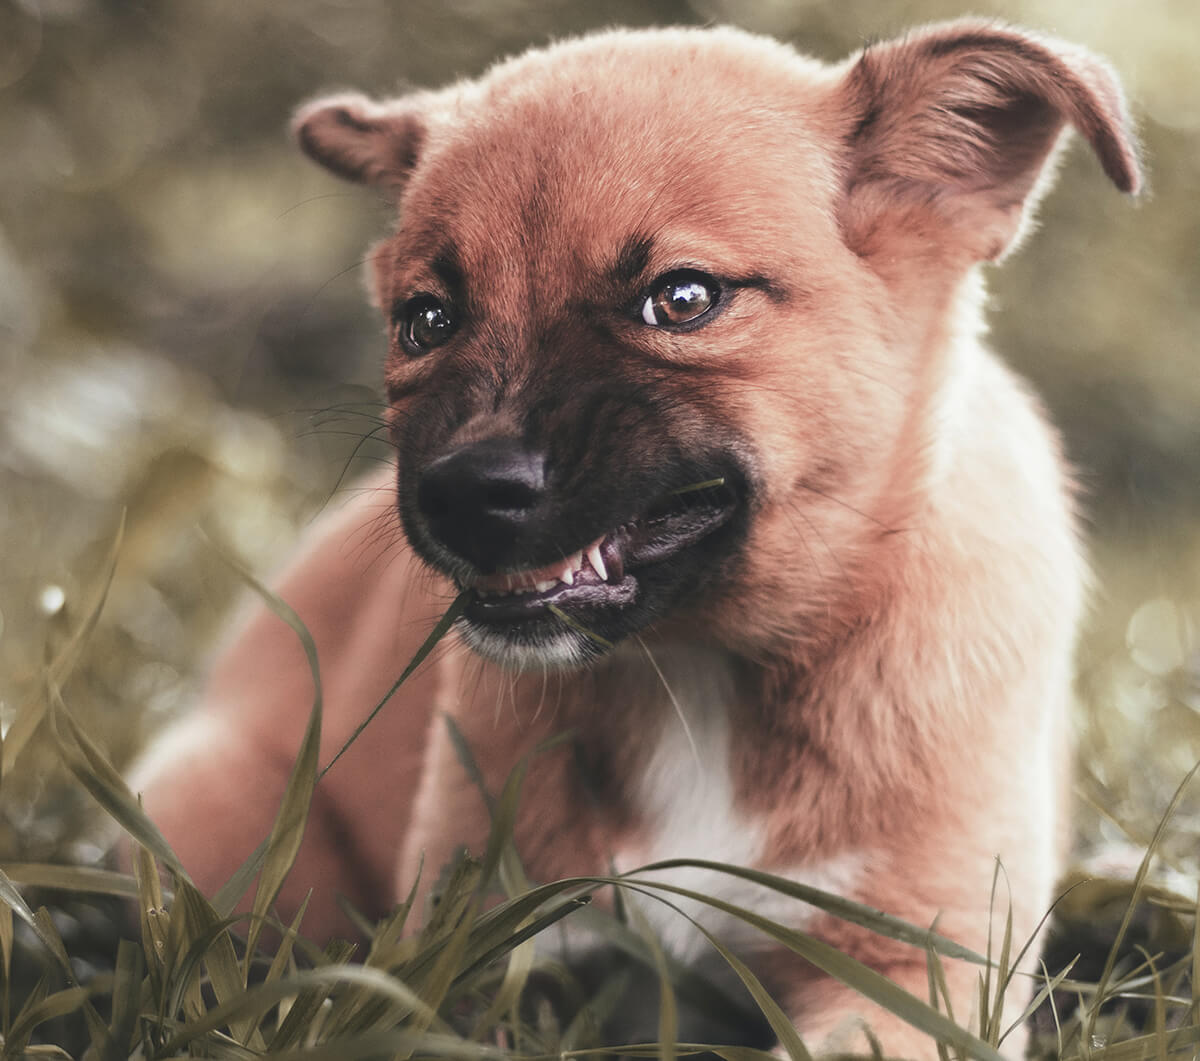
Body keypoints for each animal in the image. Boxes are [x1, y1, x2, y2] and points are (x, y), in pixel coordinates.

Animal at [126, 18, 1137, 1061]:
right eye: (425, 319)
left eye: (683, 299)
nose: (460, 493)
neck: (698, 673)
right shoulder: (470, 959)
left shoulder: (912, 974)